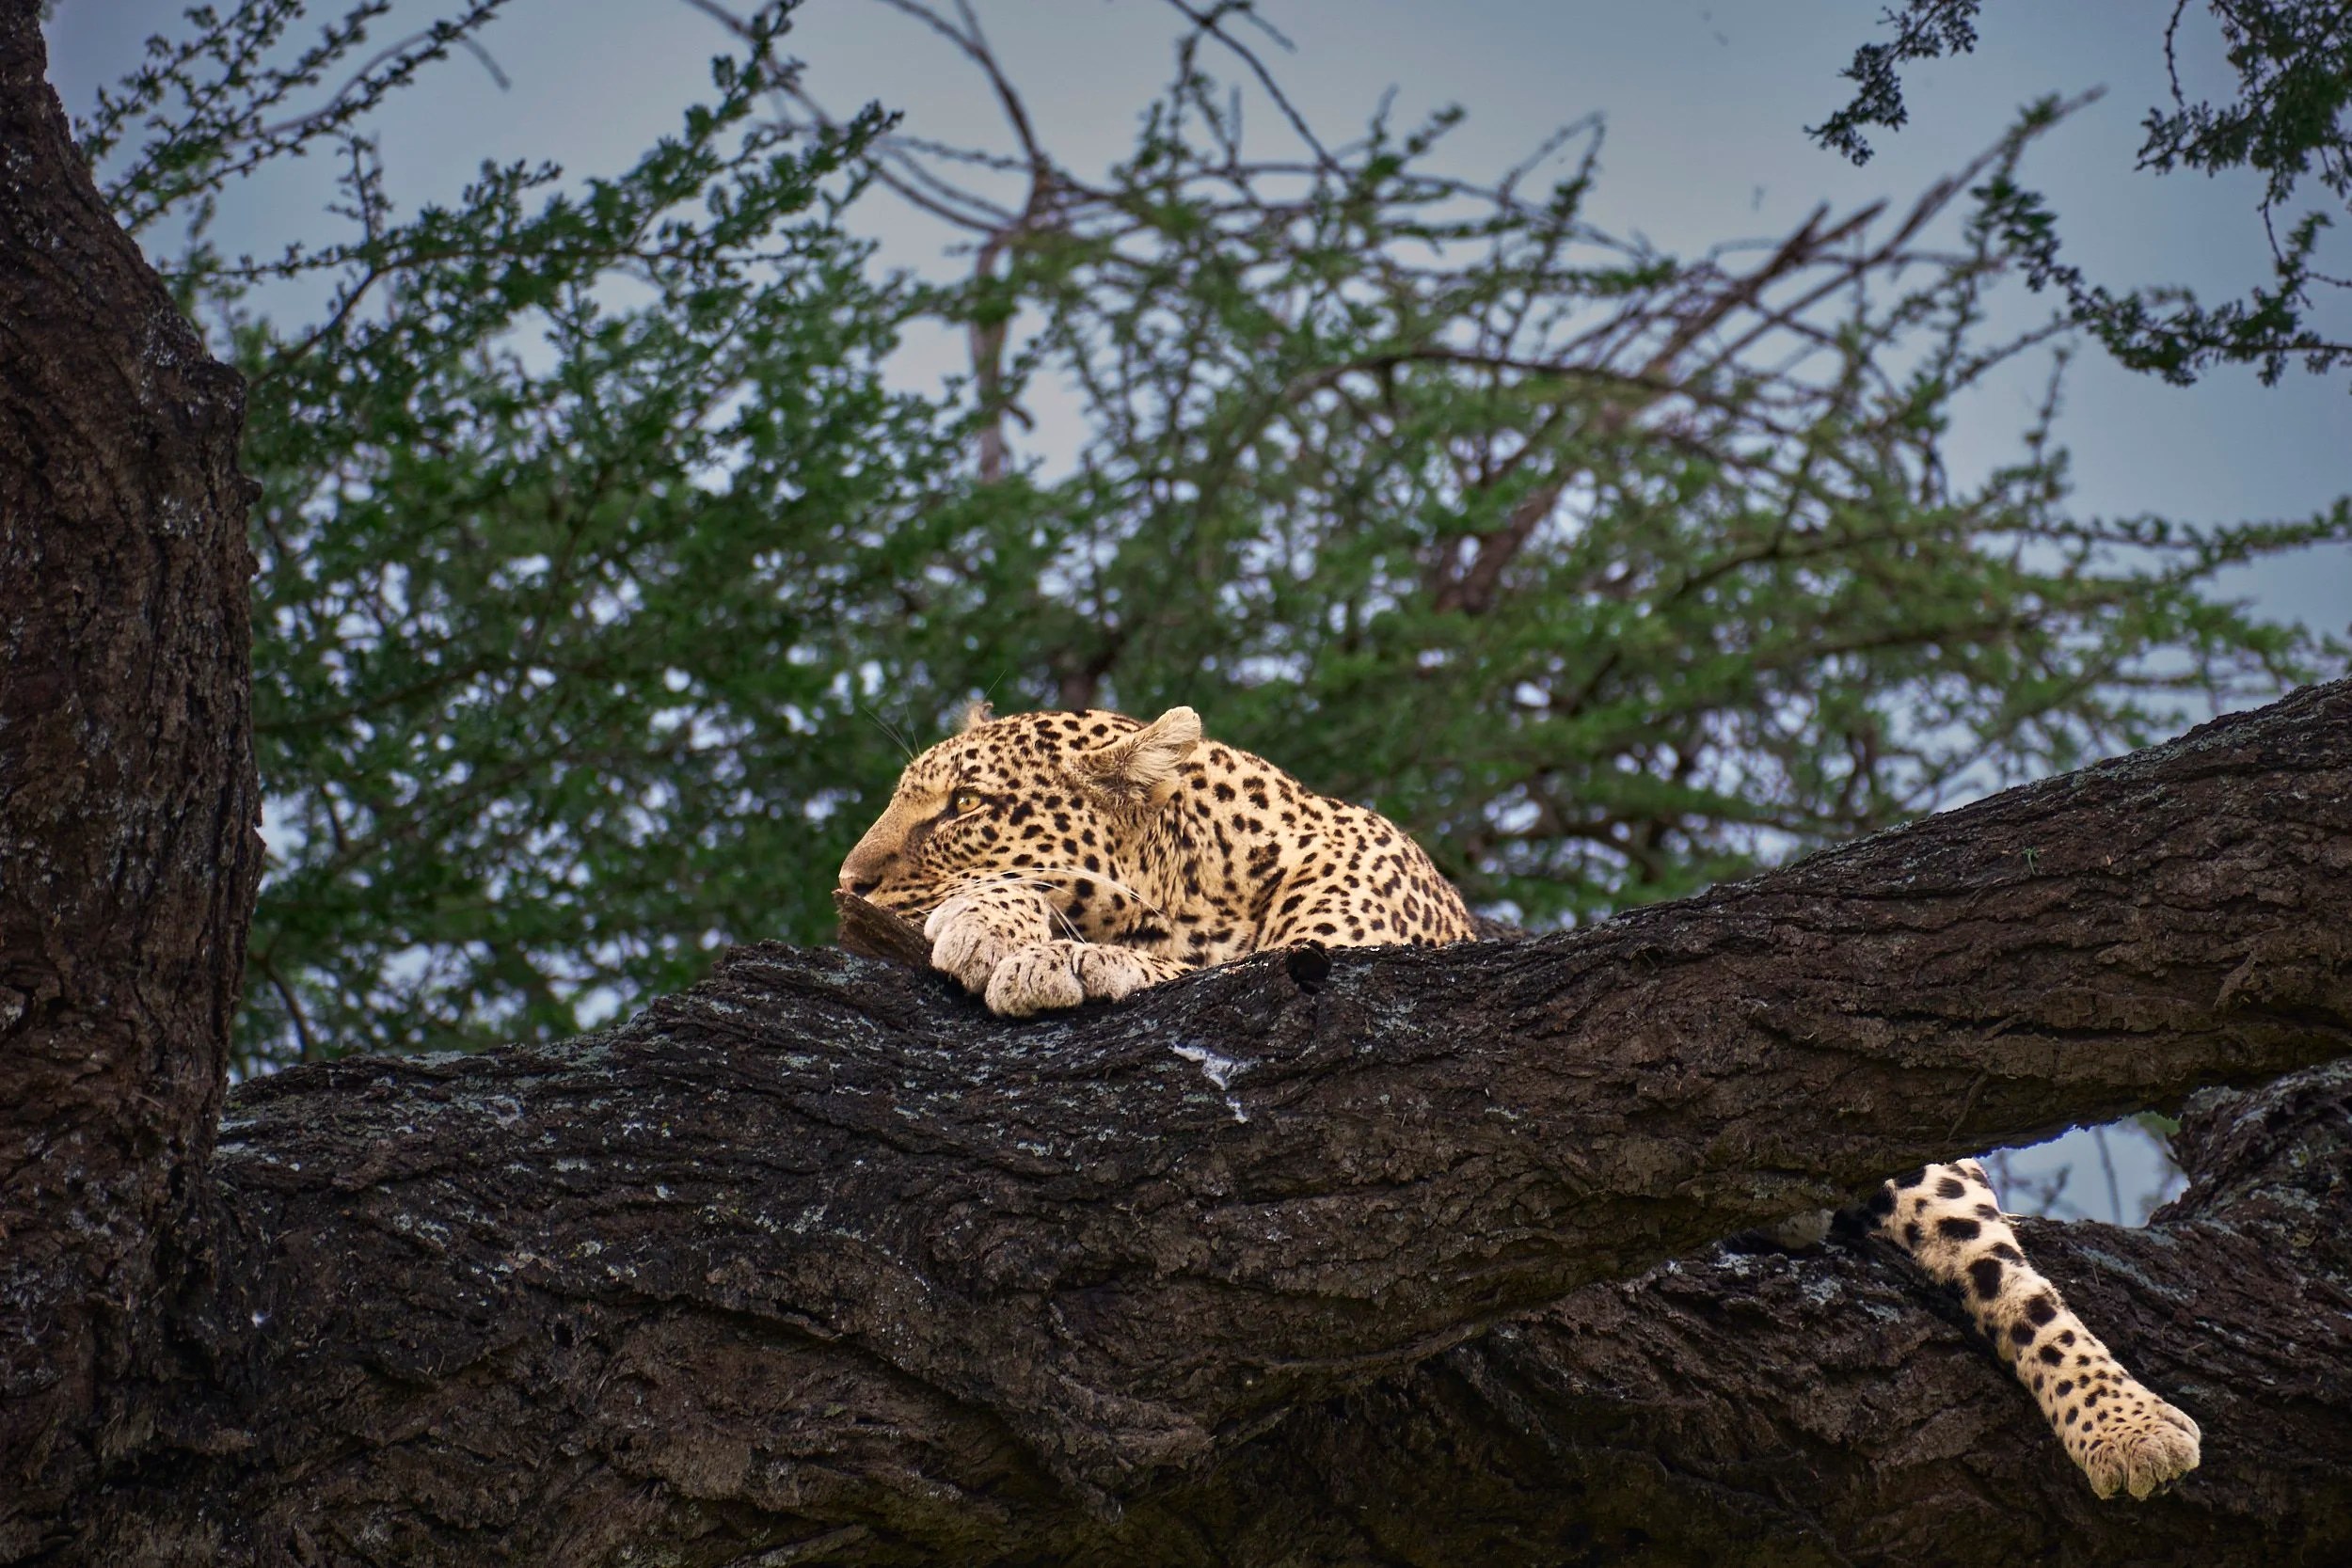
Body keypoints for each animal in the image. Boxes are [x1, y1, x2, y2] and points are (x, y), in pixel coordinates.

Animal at [837, 703, 2202, 1501]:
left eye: (960, 805)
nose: (844, 878)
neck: (1206, 876)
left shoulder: (1345, 985)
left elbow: (1156, 959)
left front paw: (999, 923)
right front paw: (1006, 931)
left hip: (1905, 1145)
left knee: (2006, 1272)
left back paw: (2128, 1424)